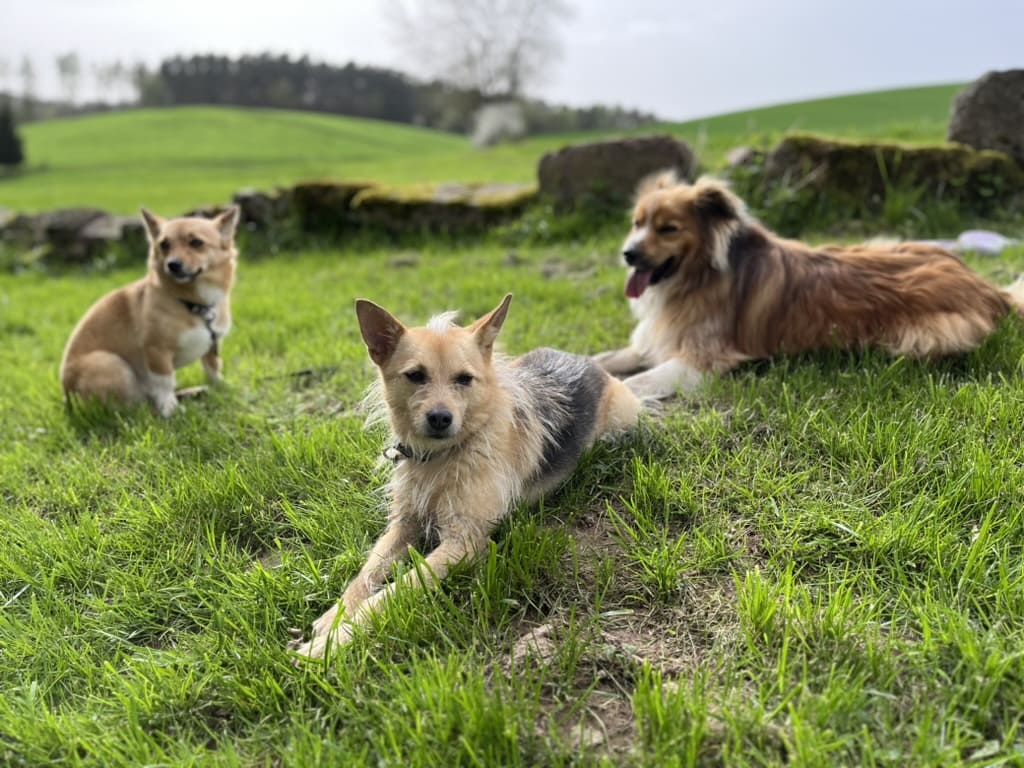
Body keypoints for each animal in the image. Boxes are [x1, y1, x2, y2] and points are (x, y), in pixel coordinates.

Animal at [60, 207, 239, 416]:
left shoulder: (213, 345)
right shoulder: (156, 351)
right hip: (111, 364)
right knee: (135, 408)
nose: (173, 264)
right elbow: (165, 383)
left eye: (196, 242)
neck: (192, 303)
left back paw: (194, 392)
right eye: (164, 245)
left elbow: (213, 367)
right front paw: (169, 409)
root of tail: (67, 402)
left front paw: (221, 386)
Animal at [289, 294, 642, 659]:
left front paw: (332, 642)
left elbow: (394, 592)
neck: (440, 457)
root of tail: (591, 363)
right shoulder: (403, 525)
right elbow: (366, 572)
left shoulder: (463, 543)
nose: (440, 418)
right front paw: (335, 614)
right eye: (415, 376)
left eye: (464, 379)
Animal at [595, 173, 1024, 399]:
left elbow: (634, 382)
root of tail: (987, 287)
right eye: (636, 223)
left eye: (668, 228)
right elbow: (606, 359)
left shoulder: (702, 358)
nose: (627, 254)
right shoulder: (653, 341)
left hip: (923, 333)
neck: (698, 277)